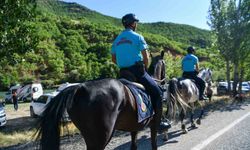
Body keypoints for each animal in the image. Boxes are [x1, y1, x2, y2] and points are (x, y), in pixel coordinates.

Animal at [35, 52, 180, 149]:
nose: (164, 81)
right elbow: (154, 144)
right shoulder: (153, 126)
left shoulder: (134, 127)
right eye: (165, 65)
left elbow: (134, 145)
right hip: (101, 137)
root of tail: (79, 88)